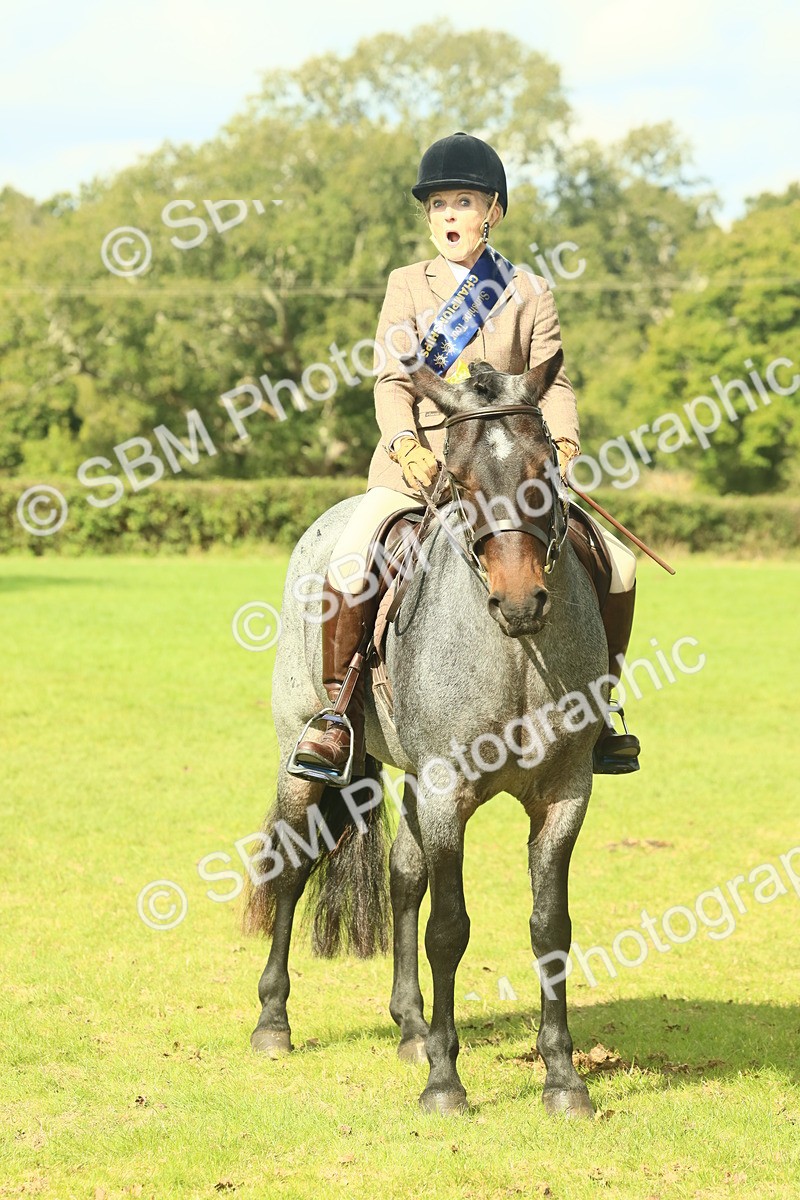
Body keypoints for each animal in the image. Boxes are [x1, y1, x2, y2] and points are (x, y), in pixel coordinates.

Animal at [243, 348, 607, 1118]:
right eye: (460, 481)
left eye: (543, 470)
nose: (521, 602)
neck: (516, 651)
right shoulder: (447, 792)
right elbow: (450, 929)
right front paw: (445, 1084)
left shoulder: (564, 794)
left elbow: (549, 927)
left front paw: (563, 1080)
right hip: (303, 760)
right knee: (292, 869)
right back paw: (273, 1022)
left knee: (403, 877)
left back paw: (411, 1027)